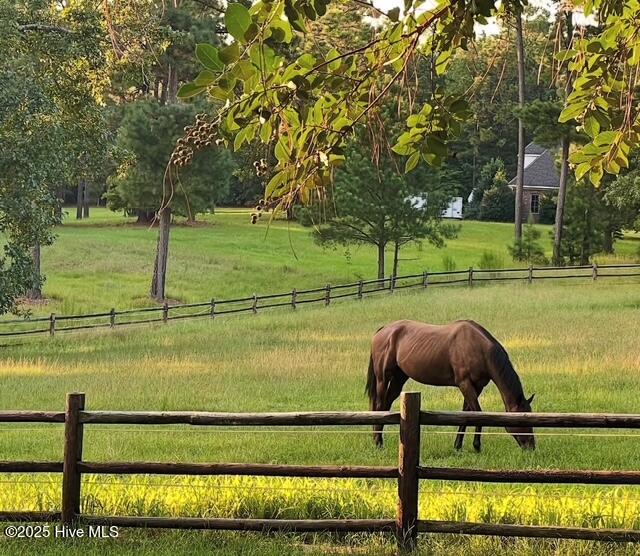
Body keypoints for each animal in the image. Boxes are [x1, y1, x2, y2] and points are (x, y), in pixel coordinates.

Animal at [365, 319, 535, 451]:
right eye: (521, 422)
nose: (531, 447)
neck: (478, 347)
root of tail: (383, 331)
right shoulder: (464, 383)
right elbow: (477, 413)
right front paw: (476, 446)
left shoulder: (476, 386)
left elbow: (466, 414)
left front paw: (458, 446)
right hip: (383, 378)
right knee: (379, 405)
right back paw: (378, 443)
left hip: (399, 378)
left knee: (386, 405)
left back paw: (377, 439)